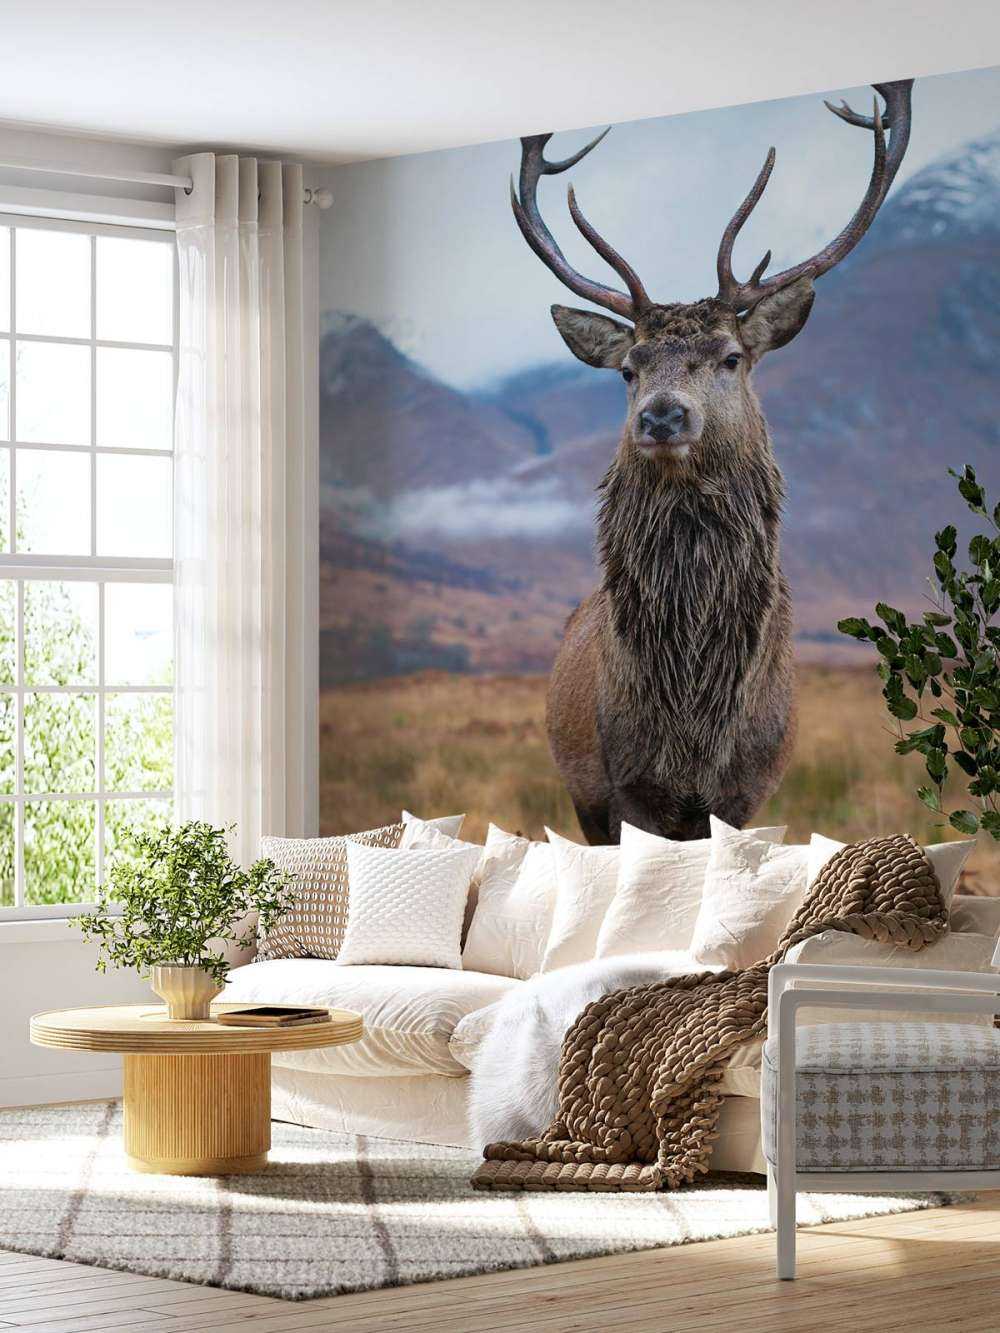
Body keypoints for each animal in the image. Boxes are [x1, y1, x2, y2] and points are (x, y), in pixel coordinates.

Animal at [511, 80, 913, 844]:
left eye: (730, 357)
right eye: (629, 369)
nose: (662, 416)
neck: (695, 720)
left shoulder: (747, 789)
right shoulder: (624, 785)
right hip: (581, 793)